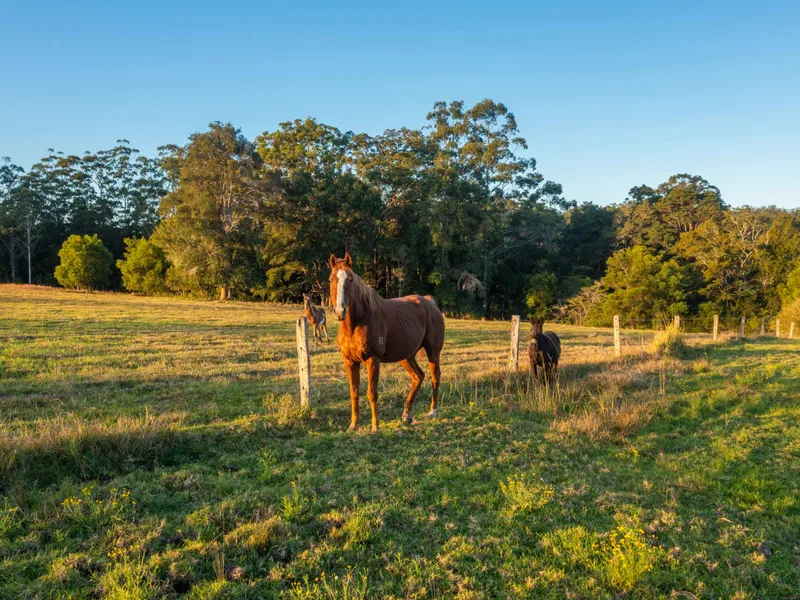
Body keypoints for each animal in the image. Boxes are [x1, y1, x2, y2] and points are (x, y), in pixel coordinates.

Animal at [329, 253, 445, 434]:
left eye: (350, 280)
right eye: (331, 279)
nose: (340, 311)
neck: (358, 322)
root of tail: (430, 304)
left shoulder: (372, 360)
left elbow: (372, 393)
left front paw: (375, 427)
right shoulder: (350, 361)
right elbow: (354, 392)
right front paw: (353, 425)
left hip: (433, 352)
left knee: (435, 377)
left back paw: (433, 411)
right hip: (406, 356)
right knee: (418, 376)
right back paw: (407, 415)